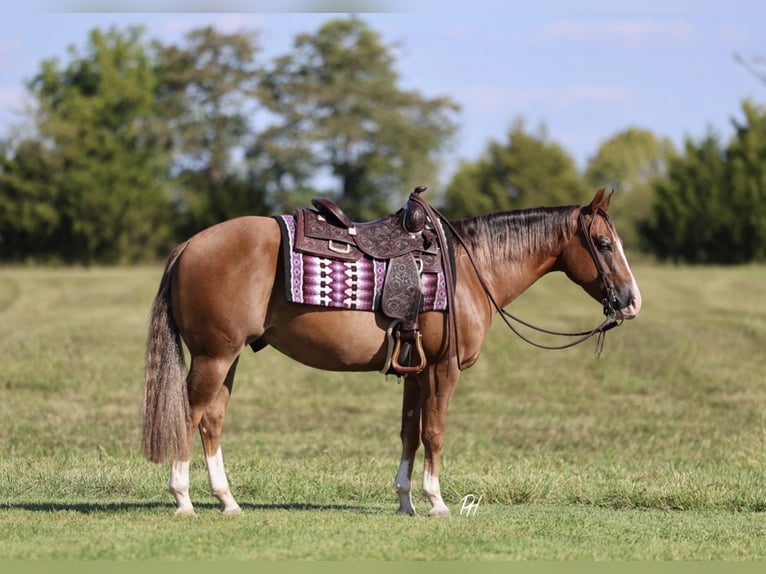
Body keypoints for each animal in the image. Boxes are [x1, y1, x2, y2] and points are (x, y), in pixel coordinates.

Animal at [142, 188, 641, 517]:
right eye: (603, 243)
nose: (631, 301)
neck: (468, 270)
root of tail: (189, 245)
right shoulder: (443, 369)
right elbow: (434, 433)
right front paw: (437, 502)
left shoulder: (415, 371)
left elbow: (409, 434)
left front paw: (405, 501)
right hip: (214, 357)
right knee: (189, 414)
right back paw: (183, 499)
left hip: (228, 358)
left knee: (211, 420)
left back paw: (227, 501)